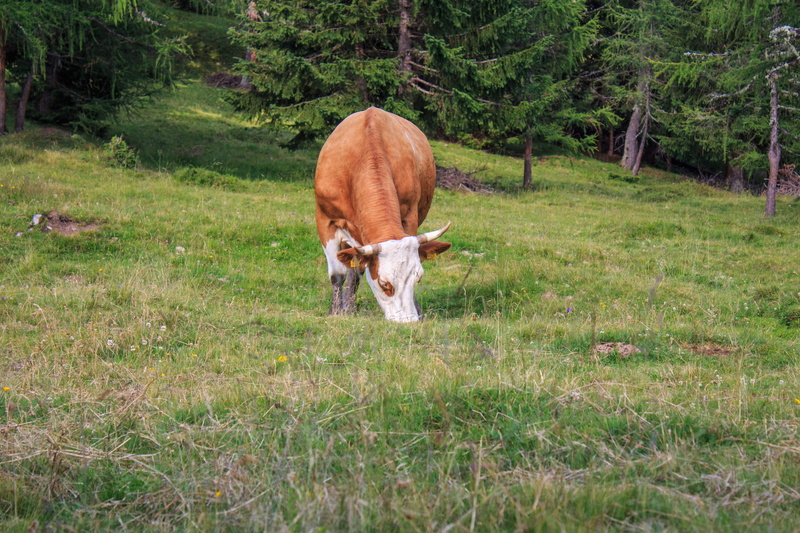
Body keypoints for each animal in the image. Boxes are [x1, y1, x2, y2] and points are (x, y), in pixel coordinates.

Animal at [314, 107, 452, 323]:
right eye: (384, 283)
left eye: (418, 278)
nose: (408, 322)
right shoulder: (325, 220)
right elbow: (337, 274)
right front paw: (336, 312)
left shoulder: (409, 217)